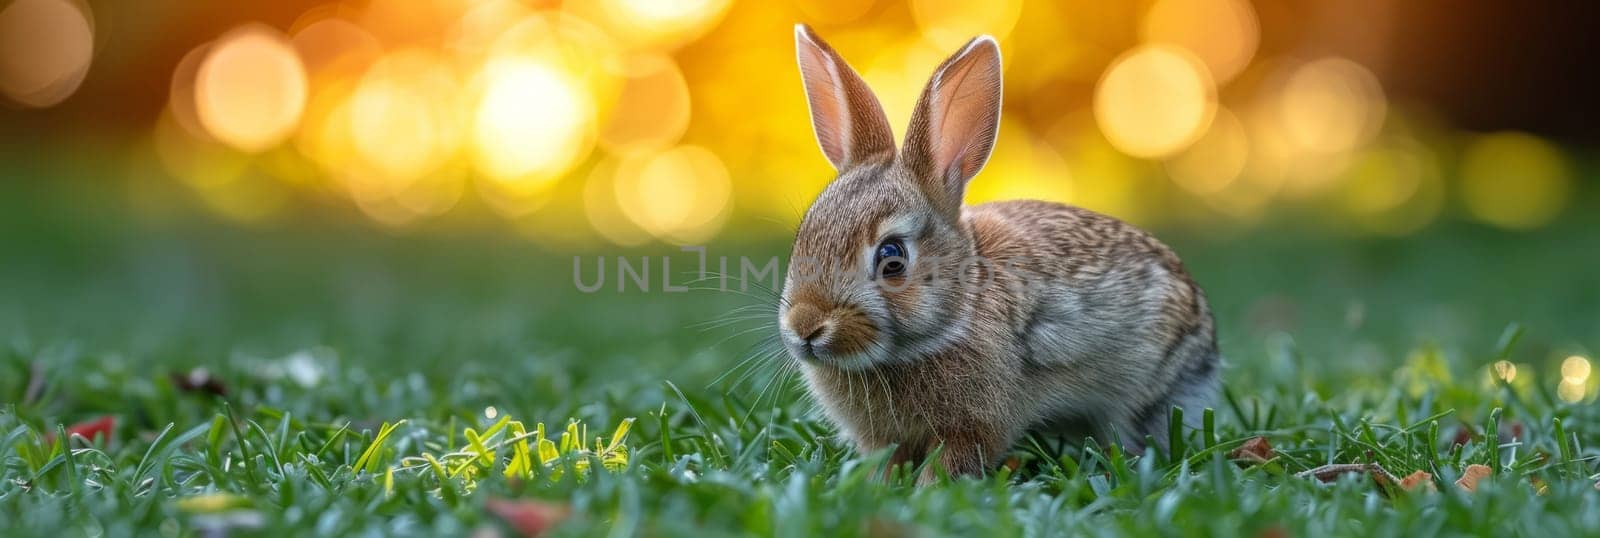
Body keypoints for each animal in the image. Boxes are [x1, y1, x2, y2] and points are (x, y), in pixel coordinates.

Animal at [780, 23, 1216, 483]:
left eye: (892, 257)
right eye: (803, 237)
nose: (805, 327)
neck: (960, 308)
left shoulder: (975, 424)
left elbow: (952, 460)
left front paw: (927, 489)